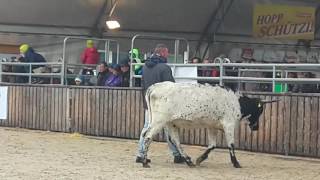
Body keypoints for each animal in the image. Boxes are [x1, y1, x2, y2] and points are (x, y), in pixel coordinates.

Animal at [141, 82, 276, 168]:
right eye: (260, 110)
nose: (256, 127)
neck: (236, 102)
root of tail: (154, 87)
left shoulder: (212, 127)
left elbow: (212, 145)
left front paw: (200, 159)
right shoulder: (229, 125)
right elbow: (231, 145)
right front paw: (236, 163)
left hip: (171, 123)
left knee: (175, 141)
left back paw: (189, 161)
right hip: (159, 121)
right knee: (148, 136)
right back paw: (144, 162)